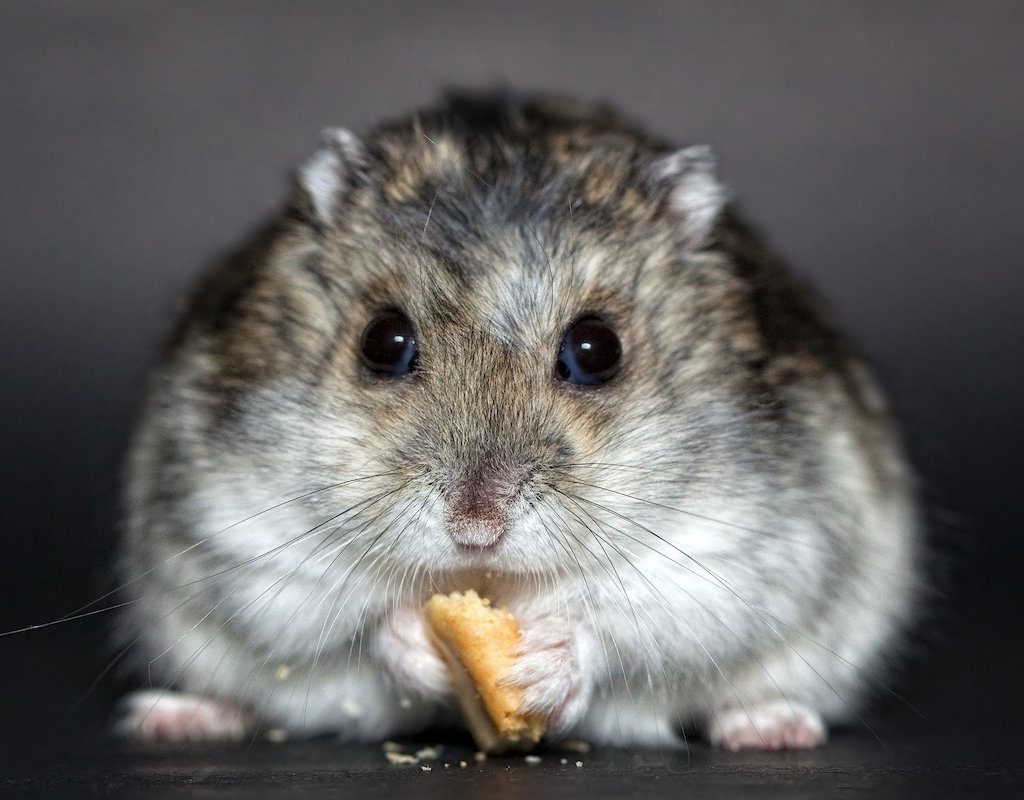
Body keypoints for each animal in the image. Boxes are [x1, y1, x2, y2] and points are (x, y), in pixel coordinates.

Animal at [116, 93, 920, 750]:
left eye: (597, 350)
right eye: (383, 341)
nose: (476, 528)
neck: (491, 580)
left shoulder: (736, 555)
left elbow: (626, 626)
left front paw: (541, 667)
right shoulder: (246, 536)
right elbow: (351, 619)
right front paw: (417, 641)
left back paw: (771, 727)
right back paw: (175, 717)